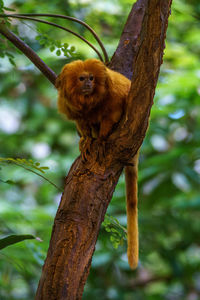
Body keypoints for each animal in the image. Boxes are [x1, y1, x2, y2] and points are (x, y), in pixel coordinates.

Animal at [55, 59, 139, 270]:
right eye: (82, 78)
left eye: (92, 78)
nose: (88, 84)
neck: (88, 100)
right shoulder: (70, 107)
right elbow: (81, 122)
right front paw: (87, 140)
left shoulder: (114, 97)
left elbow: (111, 115)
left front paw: (101, 140)